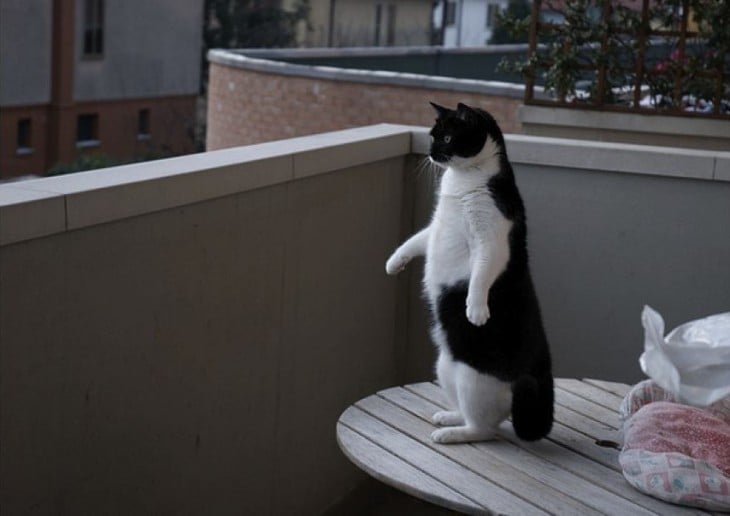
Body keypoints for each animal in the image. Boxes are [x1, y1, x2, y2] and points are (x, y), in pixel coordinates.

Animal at [384, 102, 548, 444]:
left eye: (447, 137)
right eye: (432, 135)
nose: (431, 151)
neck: (461, 182)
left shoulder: (492, 241)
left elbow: (482, 274)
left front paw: (476, 308)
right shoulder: (435, 228)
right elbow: (415, 240)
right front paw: (394, 263)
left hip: (472, 380)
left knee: (484, 428)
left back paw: (453, 434)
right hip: (446, 367)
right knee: (481, 415)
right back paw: (449, 417)